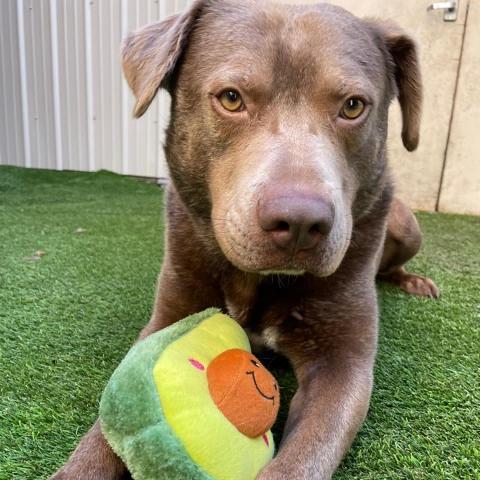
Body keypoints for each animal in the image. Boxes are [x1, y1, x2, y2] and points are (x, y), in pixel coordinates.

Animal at [51, 1, 438, 478]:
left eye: (352, 106)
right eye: (232, 98)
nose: (300, 221)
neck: (261, 279)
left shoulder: (343, 363)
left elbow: (304, 458)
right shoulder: (168, 314)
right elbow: (106, 424)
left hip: (406, 225)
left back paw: (413, 282)